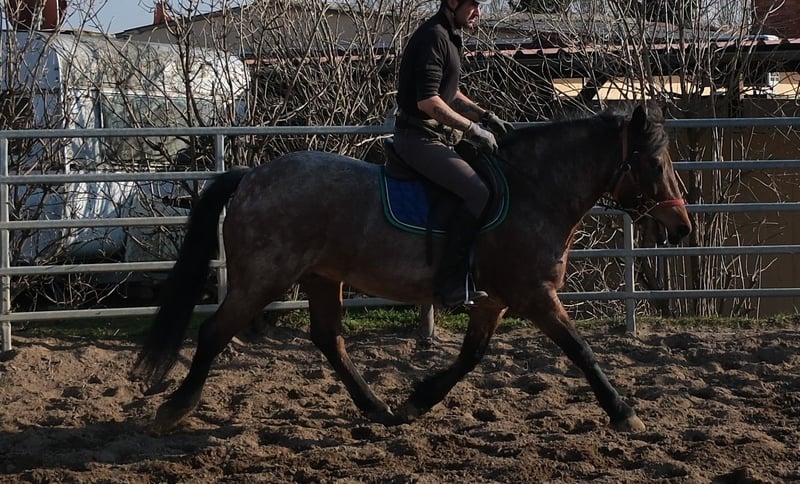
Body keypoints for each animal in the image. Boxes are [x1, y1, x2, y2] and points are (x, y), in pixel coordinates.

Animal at [132, 105, 691, 433]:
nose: (681, 227)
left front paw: (417, 401)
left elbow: (471, 357)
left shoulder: (495, 298)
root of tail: (250, 176)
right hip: (263, 277)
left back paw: (377, 408)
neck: (535, 189)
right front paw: (623, 412)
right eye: (655, 163)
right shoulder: (533, 293)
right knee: (214, 333)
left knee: (329, 339)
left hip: (322, 278)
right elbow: (579, 349)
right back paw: (174, 408)